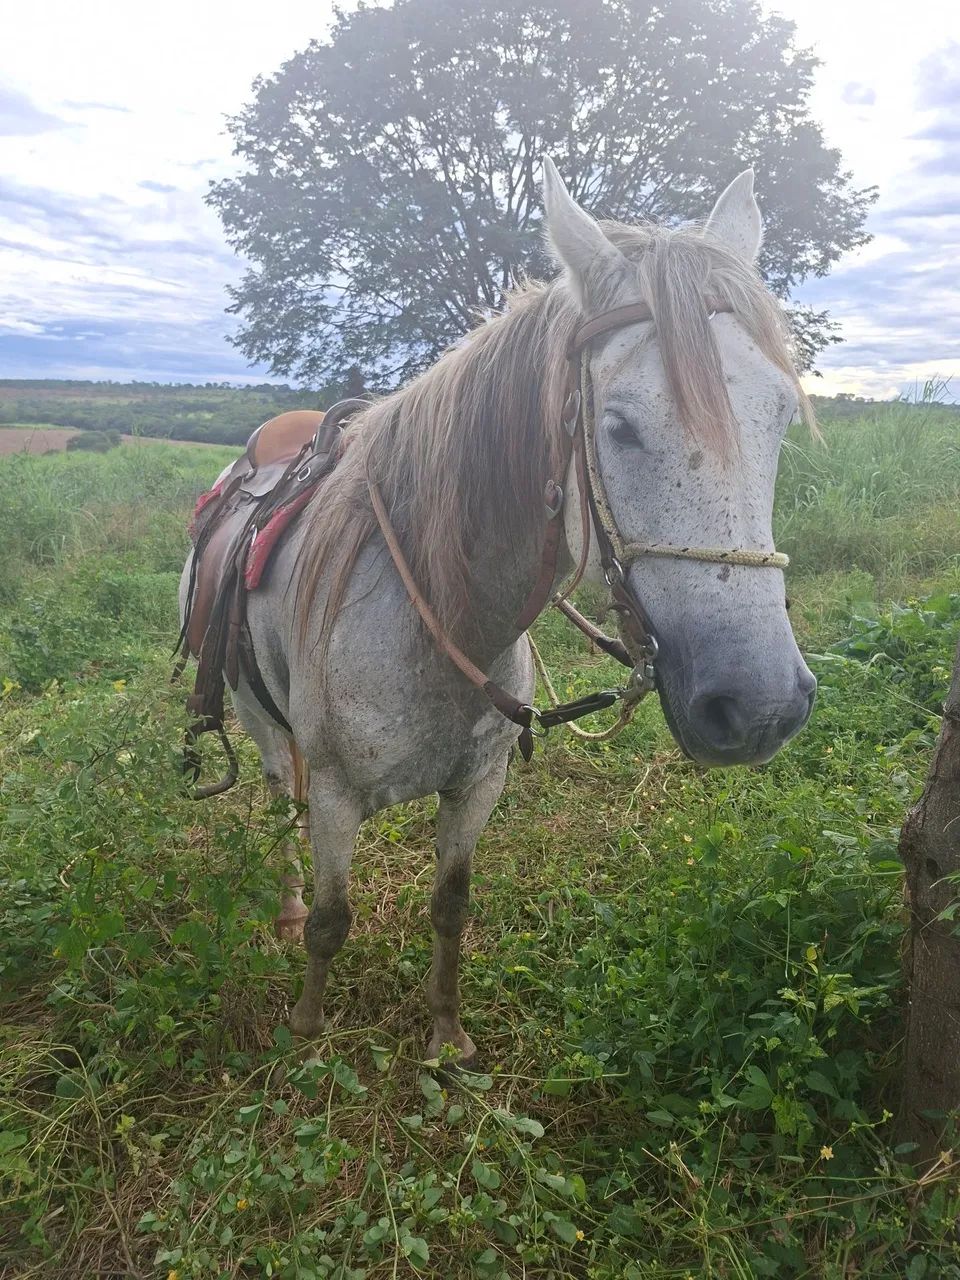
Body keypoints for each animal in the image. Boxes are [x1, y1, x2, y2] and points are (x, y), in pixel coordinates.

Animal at [180, 160, 816, 1065]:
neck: (441, 619)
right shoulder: (337, 796)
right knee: (279, 793)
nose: (761, 706)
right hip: (252, 711)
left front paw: (447, 1037)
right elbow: (335, 921)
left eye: (781, 416)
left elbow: (452, 908)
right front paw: (305, 1030)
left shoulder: (477, 786)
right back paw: (288, 903)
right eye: (618, 426)